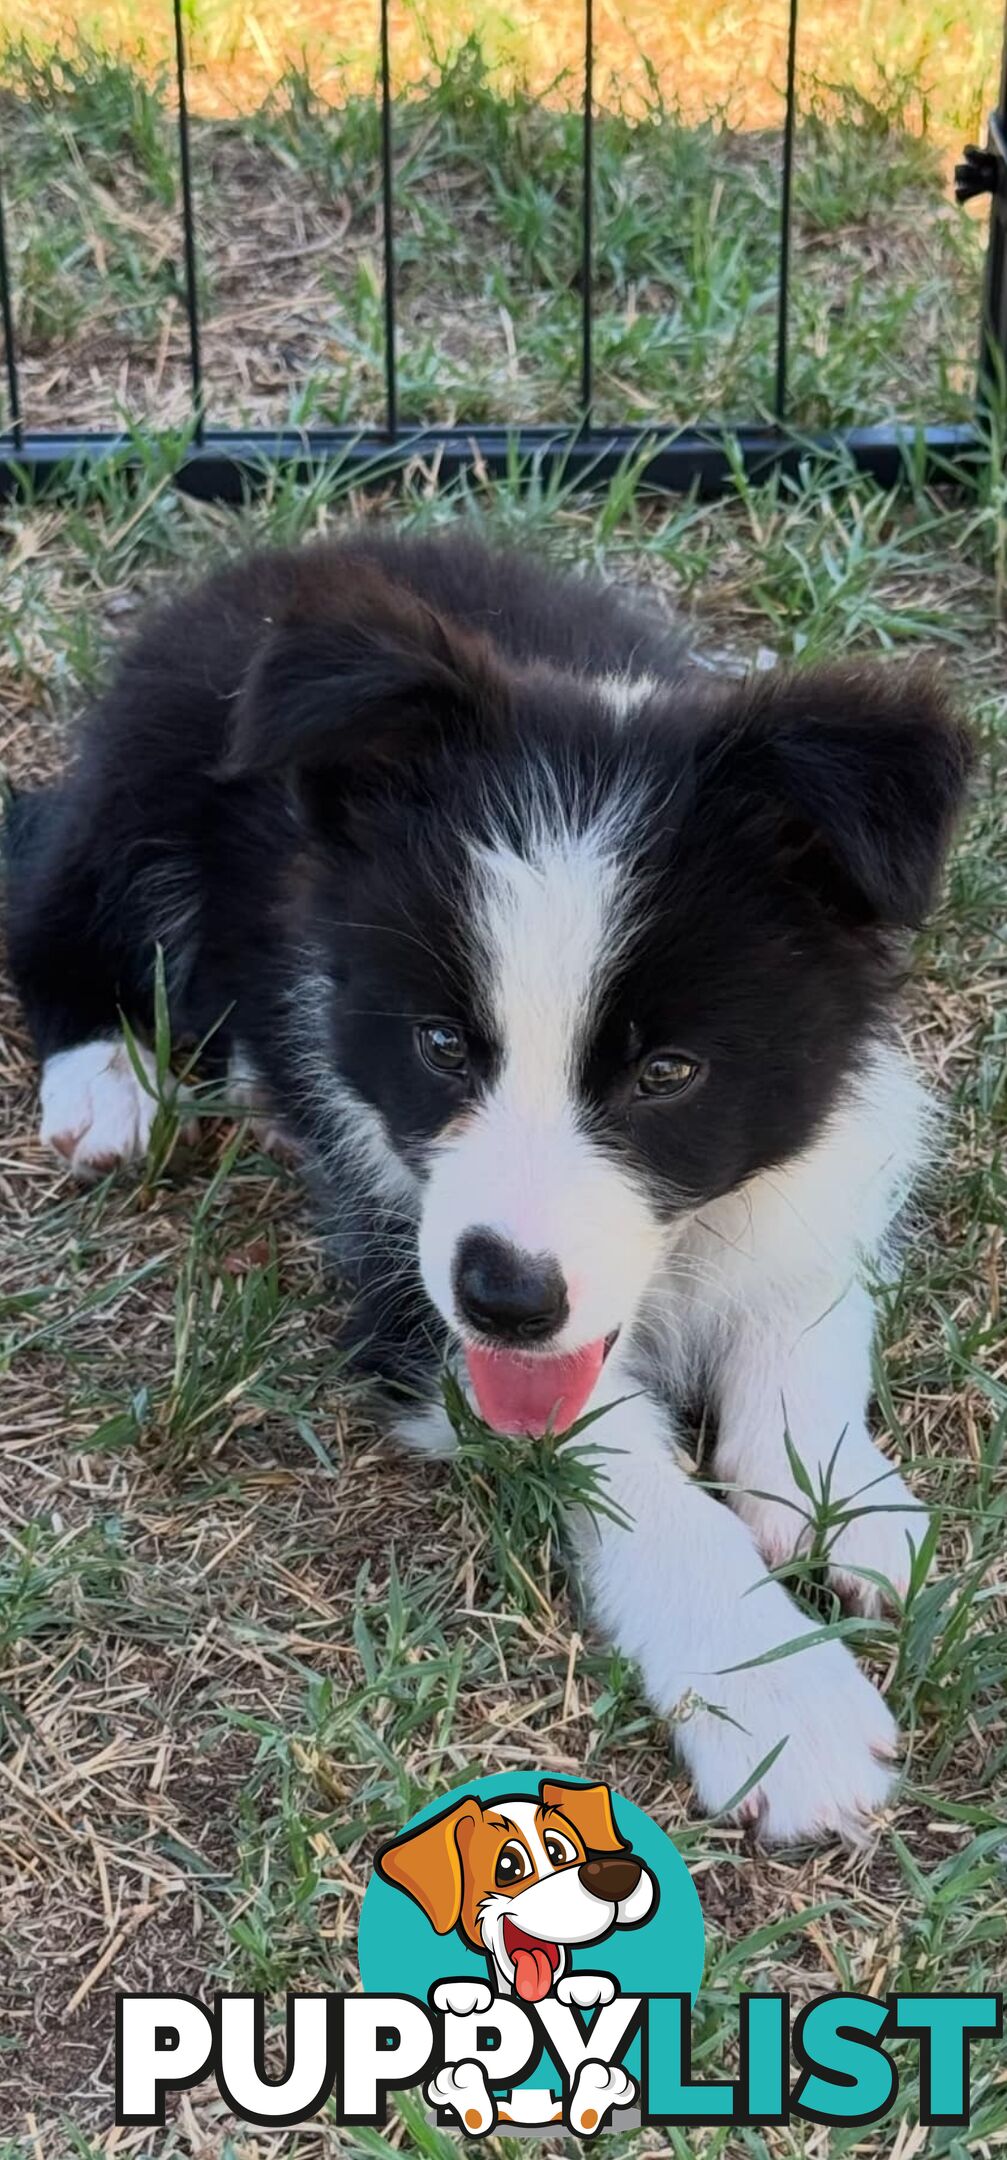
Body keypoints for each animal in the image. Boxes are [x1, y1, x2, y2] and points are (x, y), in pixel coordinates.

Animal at [5, 535, 968, 1840]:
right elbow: (618, 1461)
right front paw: (774, 1697)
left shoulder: (829, 1129)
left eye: (666, 1073)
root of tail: (284, 558)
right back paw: (107, 1080)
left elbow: (804, 1301)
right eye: (439, 1046)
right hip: (140, 787)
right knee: (52, 903)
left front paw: (842, 1497)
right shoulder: (405, 1268)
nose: (507, 1300)